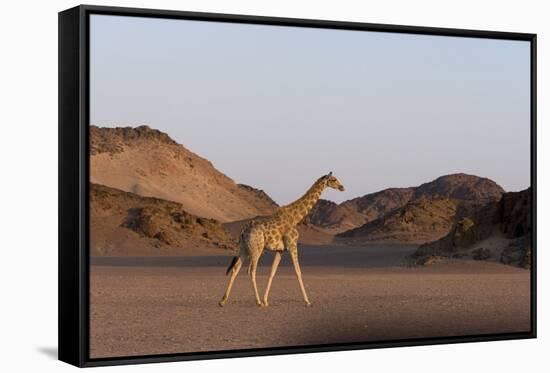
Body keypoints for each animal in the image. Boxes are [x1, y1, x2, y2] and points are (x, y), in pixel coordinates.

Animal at [219, 171, 344, 306]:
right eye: (333, 179)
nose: (342, 187)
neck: (295, 218)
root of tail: (243, 231)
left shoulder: (281, 250)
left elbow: (272, 272)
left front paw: (266, 300)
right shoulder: (293, 244)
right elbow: (298, 271)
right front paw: (307, 301)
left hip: (244, 249)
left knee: (235, 268)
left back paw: (223, 301)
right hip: (257, 248)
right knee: (251, 271)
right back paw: (258, 302)